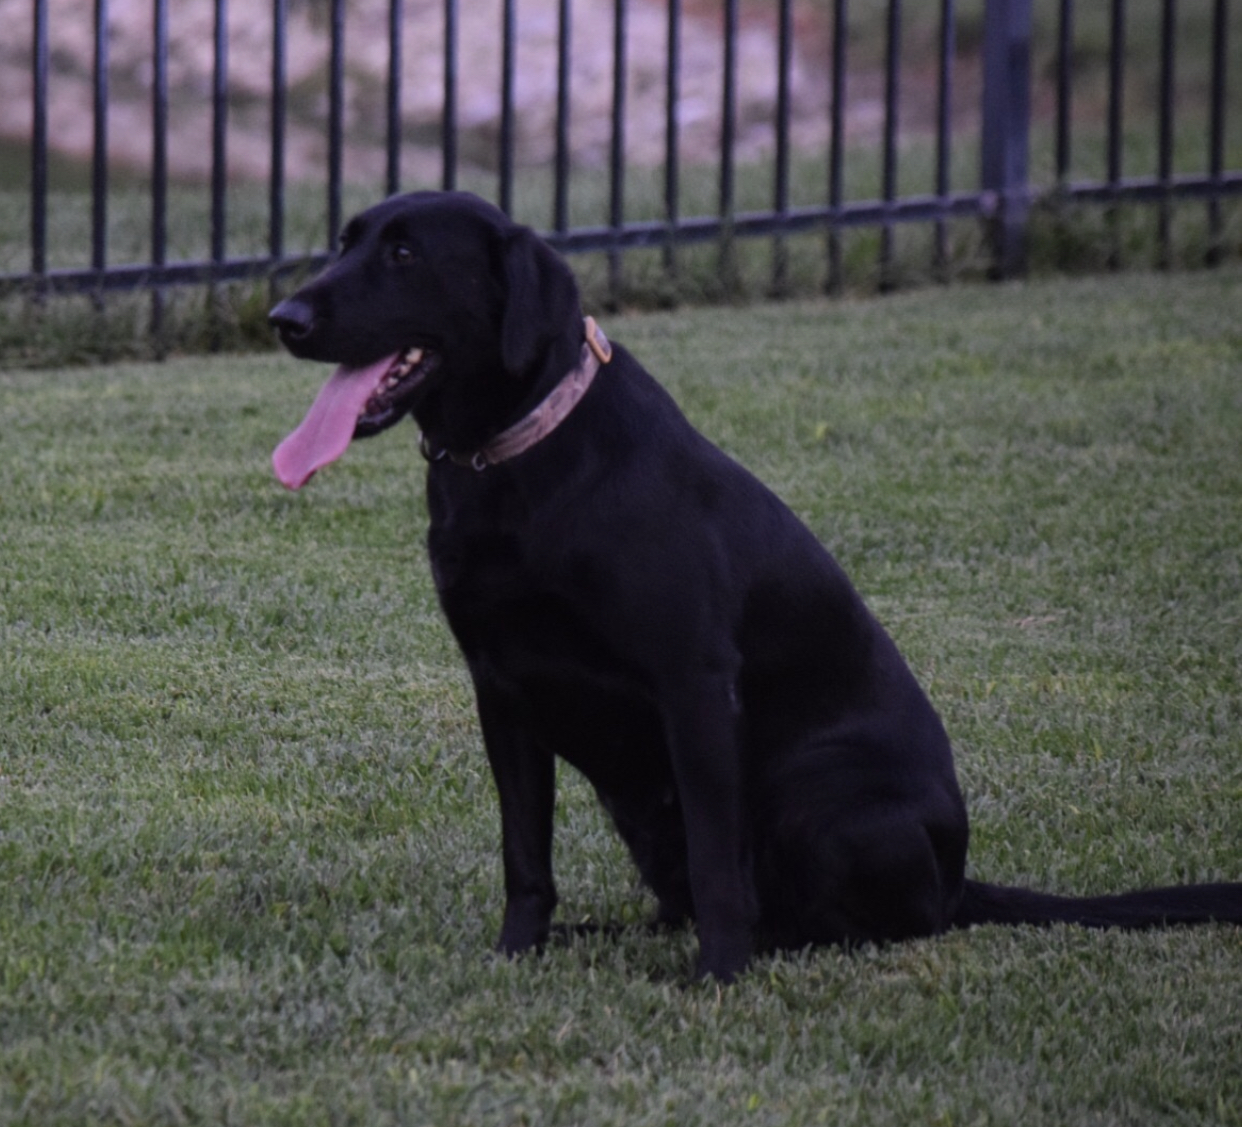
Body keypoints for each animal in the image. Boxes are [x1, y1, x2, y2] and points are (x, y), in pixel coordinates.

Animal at [269, 190, 1242, 984]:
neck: (520, 460)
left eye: (404, 254)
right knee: (679, 903)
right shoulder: (501, 693)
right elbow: (526, 856)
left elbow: (716, 858)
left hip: (816, 796)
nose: (283, 316)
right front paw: (517, 953)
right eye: (347, 242)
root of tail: (959, 876)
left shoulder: (694, 685)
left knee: (867, 921)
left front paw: (721, 975)